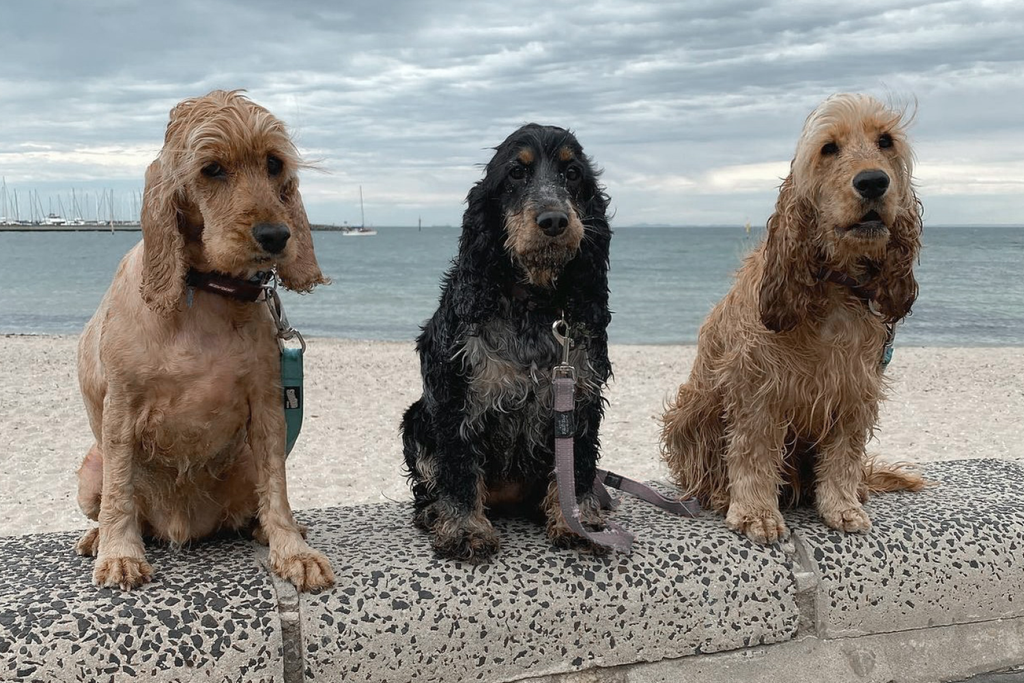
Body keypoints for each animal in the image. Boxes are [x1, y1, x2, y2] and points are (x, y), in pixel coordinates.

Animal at [75, 90, 331, 589]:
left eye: (274, 164)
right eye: (211, 169)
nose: (276, 235)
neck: (207, 291)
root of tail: (186, 529)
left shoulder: (268, 407)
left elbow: (277, 487)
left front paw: (292, 549)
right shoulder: (121, 408)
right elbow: (119, 489)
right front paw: (119, 553)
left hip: (243, 464)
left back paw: (262, 528)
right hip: (88, 470)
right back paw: (98, 538)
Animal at [659, 94, 933, 544]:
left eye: (885, 141)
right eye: (829, 148)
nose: (873, 182)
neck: (836, 287)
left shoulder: (854, 391)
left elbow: (843, 455)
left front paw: (842, 506)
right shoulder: (758, 388)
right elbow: (753, 451)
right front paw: (755, 513)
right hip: (691, 412)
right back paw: (718, 495)